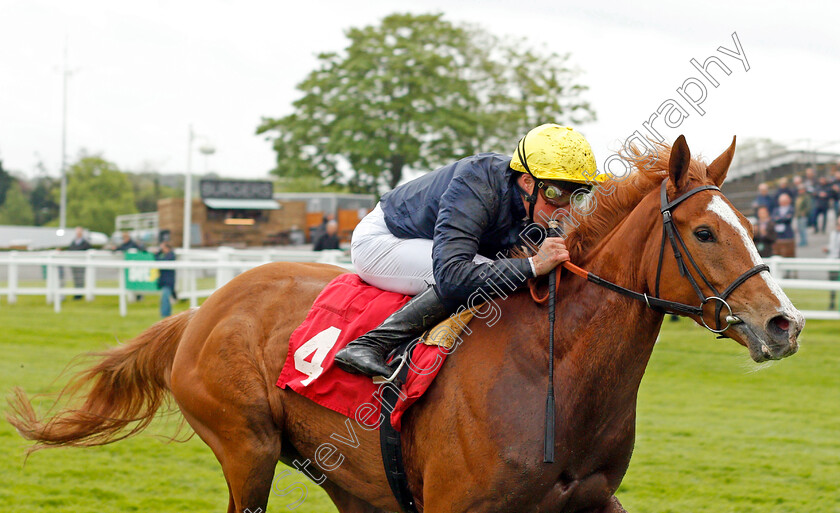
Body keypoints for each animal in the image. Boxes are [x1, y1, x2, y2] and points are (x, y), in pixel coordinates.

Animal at [8, 137, 808, 512]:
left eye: (749, 224)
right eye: (704, 232)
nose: (786, 324)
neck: (553, 372)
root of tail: (203, 310)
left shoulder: (589, 498)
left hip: (347, 475)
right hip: (247, 450)